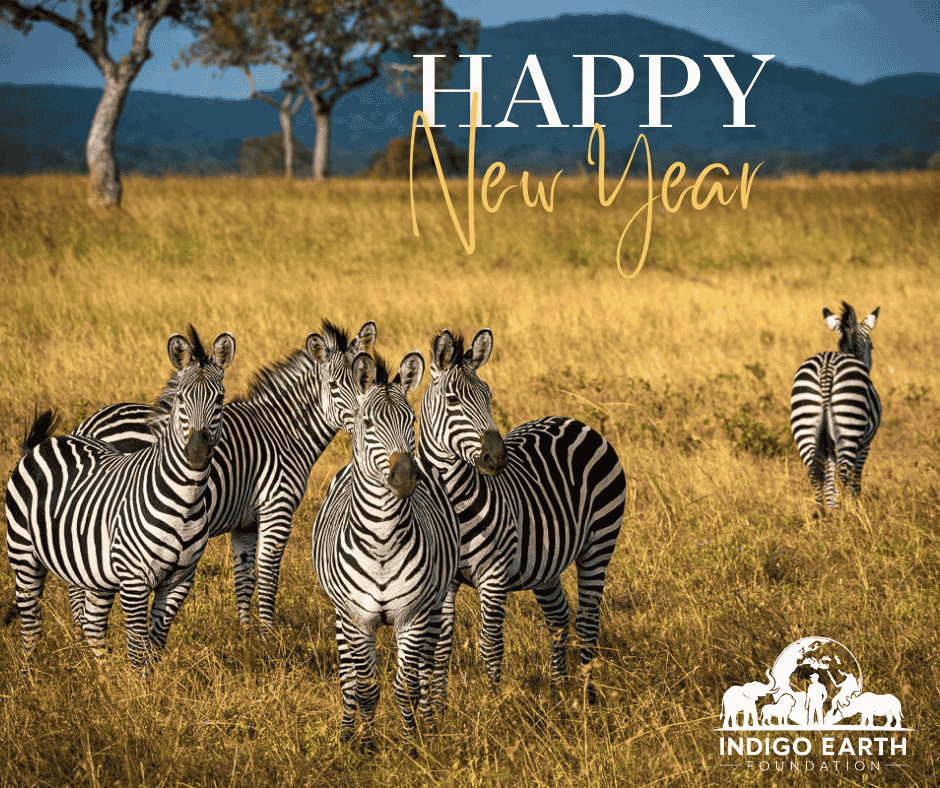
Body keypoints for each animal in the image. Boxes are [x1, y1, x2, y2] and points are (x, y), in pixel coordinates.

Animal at [4, 328, 235, 668]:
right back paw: (29, 675)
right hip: (24, 555)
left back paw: (102, 674)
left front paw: (150, 682)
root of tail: (46, 443)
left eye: (219, 399)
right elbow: (138, 648)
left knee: (92, 623)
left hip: (93, 570)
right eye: (181, 399)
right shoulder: (134, 579)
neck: (185, 502)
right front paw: (138, 683)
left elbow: (155, 643)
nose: (197, 453)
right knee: (31, 625)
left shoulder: (179, 580)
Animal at [71, 320, 376, 631]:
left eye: (364, 379)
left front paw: (246, 633)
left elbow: (244, 577)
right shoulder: (277, 510)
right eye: (334, 385)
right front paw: (269, 633)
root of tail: (88, 425)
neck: (283, 432)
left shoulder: (245, 523)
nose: (364, 420)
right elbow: (268, 575)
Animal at [312, 351, 460, 751]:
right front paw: (365, 744)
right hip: (340, 616)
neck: (381, 542)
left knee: (425, 669)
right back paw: (347, 732)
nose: (406, 478)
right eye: (368, 422)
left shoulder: (412, 616)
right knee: (348, 679)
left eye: (411, 421)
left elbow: (405, 686)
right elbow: (366, 688)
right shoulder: (357, 618)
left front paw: (412, 744)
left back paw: (429, 724)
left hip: (435, 605)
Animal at [418, 329, 626, 705]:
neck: (454, 502)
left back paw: (586, 697)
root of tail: (575, 421)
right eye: (453, 400)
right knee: (558, 616)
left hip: (599, 542)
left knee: (588, 620)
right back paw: (558, 691)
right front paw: (439, 711)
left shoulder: (494, 576)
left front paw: (492, 705)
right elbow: (440, 648)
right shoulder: (446, 579)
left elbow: (490, 644)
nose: (497, 457)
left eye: (488, 396)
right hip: (545, 561)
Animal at [790, 302, 881, 511]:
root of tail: (827, 368)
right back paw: (850, 514)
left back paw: (821, 514)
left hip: (805, 424)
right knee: (845, 474)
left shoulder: (828, 447)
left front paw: (832, 507)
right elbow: (855, 480)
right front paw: (853, 505)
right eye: (872, 346)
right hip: (849, 426)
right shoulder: (865, 444)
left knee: (815, 473)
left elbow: (829, 481)